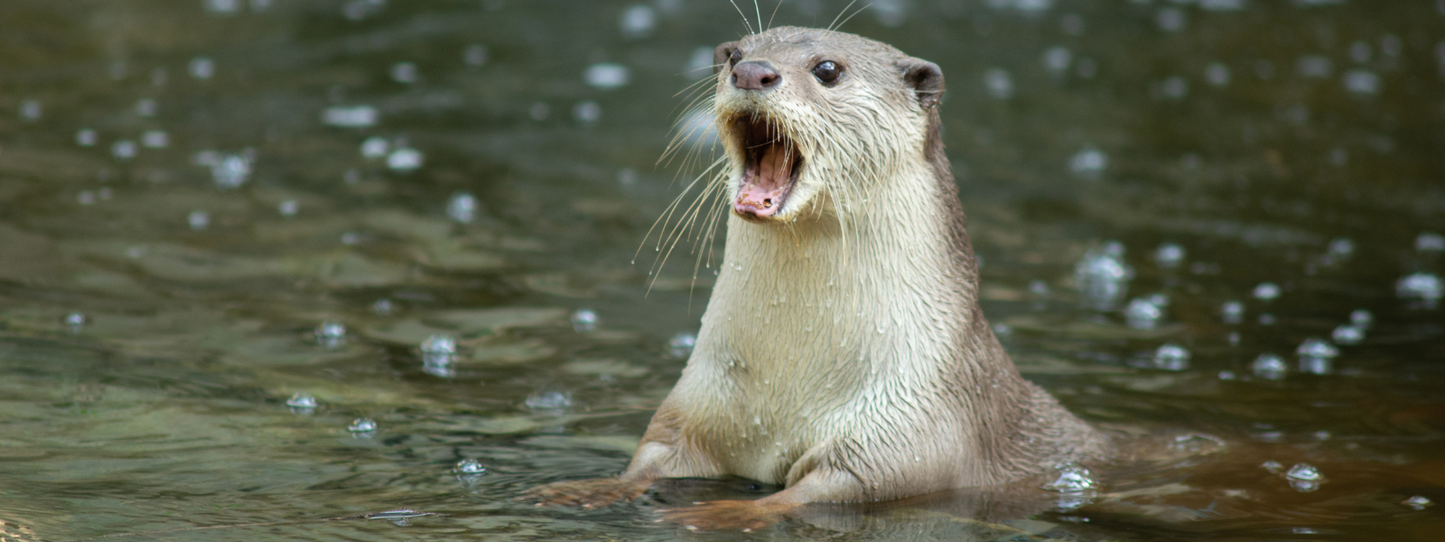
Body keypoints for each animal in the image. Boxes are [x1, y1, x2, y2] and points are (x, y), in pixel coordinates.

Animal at [529, 26, 1110, 530]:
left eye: (827, 69)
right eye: (736, 54)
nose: (752, 73)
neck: (789, 379)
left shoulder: (906, 429)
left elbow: (821, 490)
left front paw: (722, 513)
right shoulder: (698, 402)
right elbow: (653, 455)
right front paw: (583, 489)